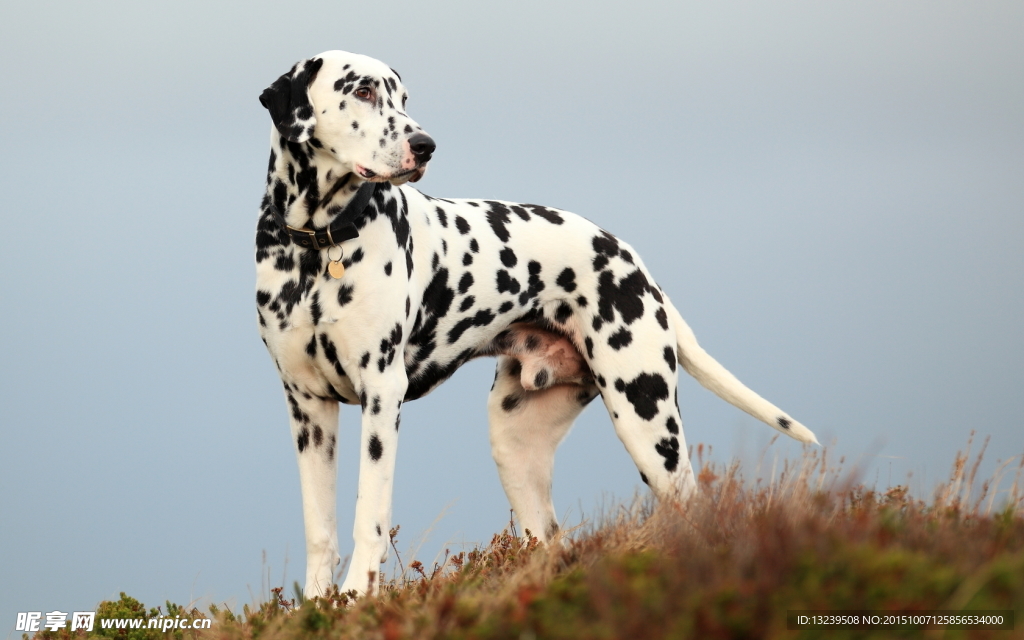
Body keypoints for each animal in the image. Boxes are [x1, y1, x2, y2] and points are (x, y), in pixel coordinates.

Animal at [256, 51, 815, 598]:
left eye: (404, 98)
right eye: (364, 90)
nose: (425, 145)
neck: (318, 248)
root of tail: (631, 259)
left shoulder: (381, 394)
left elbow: (368, 516)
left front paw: (355, 599)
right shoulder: (308, 408)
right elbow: (320, 527)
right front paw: (317, 605)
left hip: (648, 421)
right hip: (517, 444)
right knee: (547, 538)